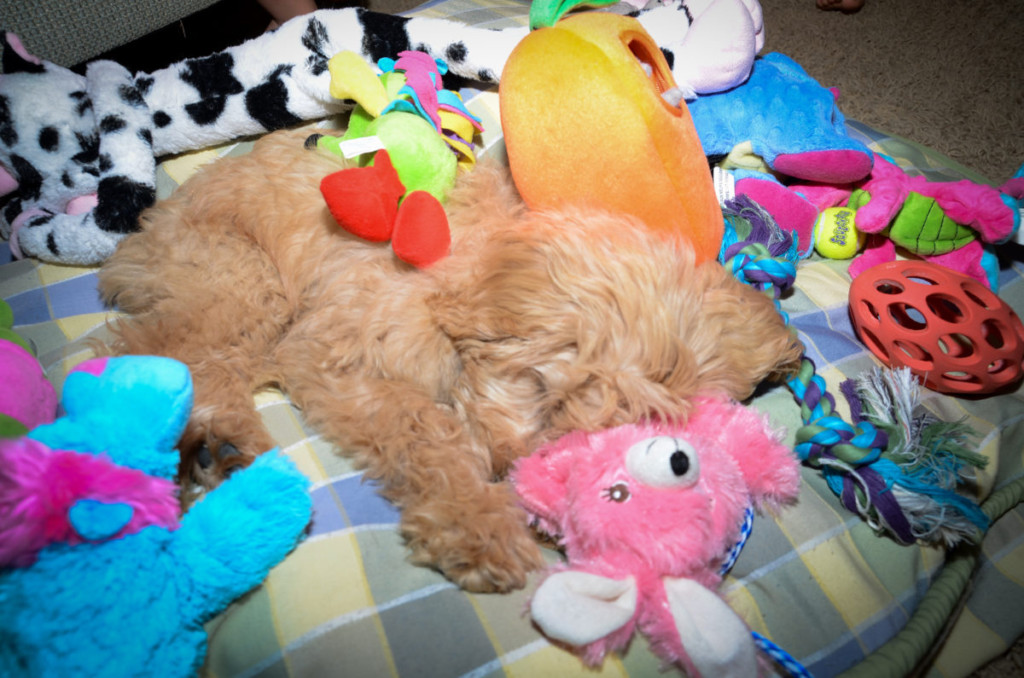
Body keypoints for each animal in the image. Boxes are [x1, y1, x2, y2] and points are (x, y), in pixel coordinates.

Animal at [99, 129, 802, 594]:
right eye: (541, 390)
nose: (508, 474)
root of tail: (137, 239)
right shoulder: (333, 358)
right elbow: (426, 433)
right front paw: (478, 526)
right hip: (239, 279)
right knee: (151, 351)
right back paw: (198, 442)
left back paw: (215, 448)